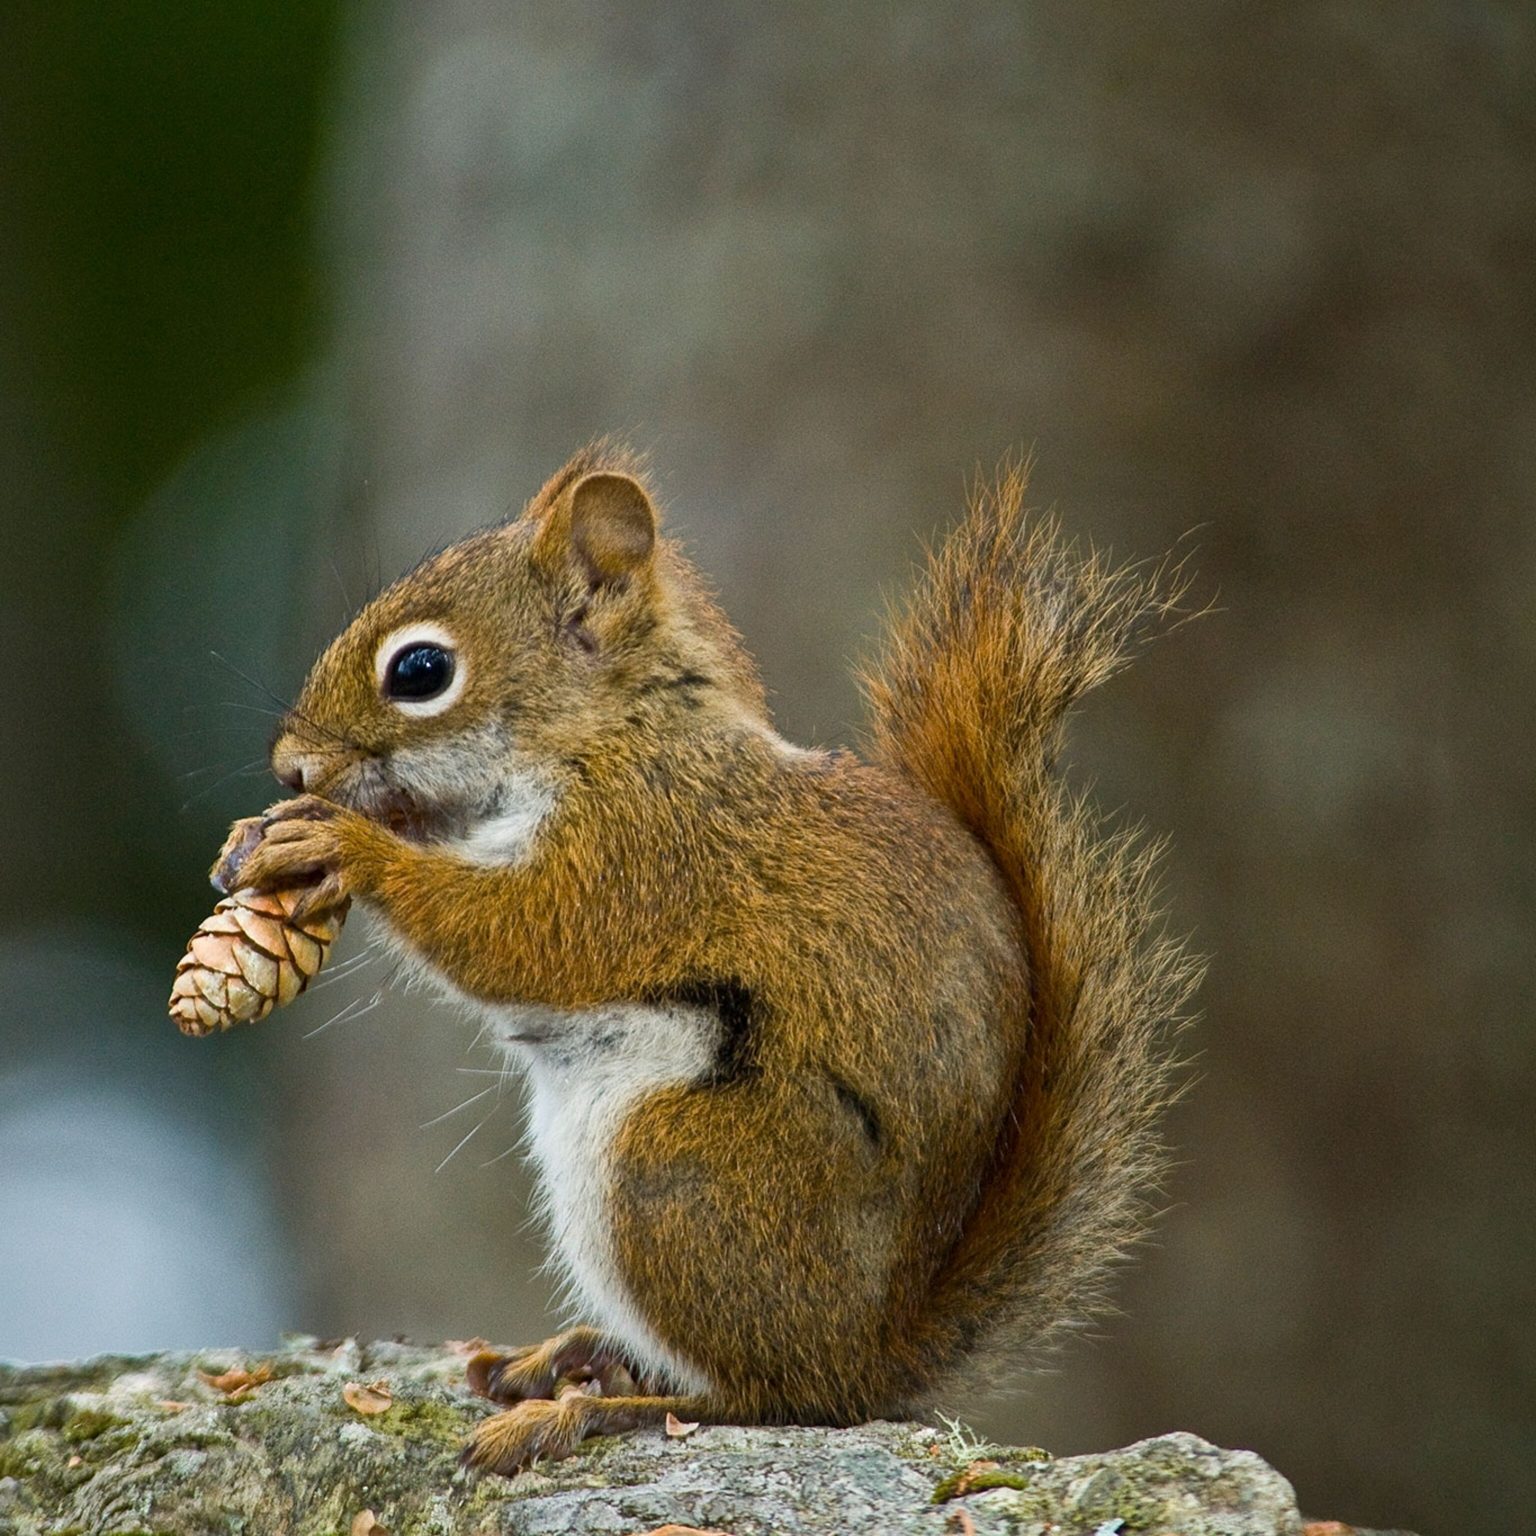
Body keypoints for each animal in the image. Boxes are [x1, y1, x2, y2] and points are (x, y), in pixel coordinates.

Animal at [226, 443, 1198, 1475]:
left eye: (420, 669)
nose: (291, 768)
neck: (613, 730)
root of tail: (871, 1357)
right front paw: (263, 835)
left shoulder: (647, 848)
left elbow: (523, 933)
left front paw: (344, 846)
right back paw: (573, 1357)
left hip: (673, 1175)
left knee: (767, 1398)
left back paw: (590, 1411)